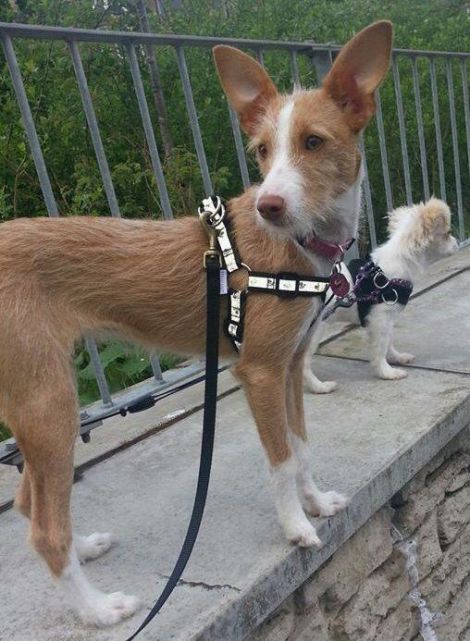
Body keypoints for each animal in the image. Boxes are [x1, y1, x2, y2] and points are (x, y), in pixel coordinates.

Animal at [0, 21, 392, 624]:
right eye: (262, 151)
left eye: (313, 142)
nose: (270, 206)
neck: (297, 247)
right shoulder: (259, 372)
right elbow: (280, 460)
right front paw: (296, 527)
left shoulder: (289, 368)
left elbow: (301, 445)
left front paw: (317, 501)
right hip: (48, 402)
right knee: (45, 530)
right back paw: (98, 610)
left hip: (42, 407)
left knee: (32, 502)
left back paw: (85, 548)